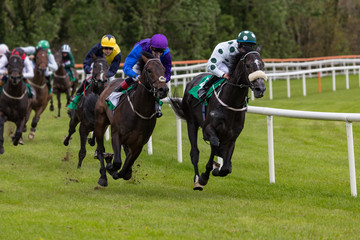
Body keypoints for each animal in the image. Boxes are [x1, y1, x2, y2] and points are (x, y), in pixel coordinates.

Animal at [94, 52, 170, 188]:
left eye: (163, 69)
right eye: (149, 70)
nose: (163, 89)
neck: (139, 111)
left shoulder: (139, 143)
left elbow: (126, 167)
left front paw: (122, 172)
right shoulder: (116, 134)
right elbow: (117, 162)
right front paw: (110, 166)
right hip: (100, 123)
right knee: (100, 148)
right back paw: (103, 175)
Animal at [169, 45, 268, 191]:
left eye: (262, 64)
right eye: (248, 65)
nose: (260, 88)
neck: (231, 102)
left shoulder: (232, 136)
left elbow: (226, 167)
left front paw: (219, 168)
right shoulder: (208, 129)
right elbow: (214, 146)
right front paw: (205, 175)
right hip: (191, 123)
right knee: (195, 153)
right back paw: (197, 180)